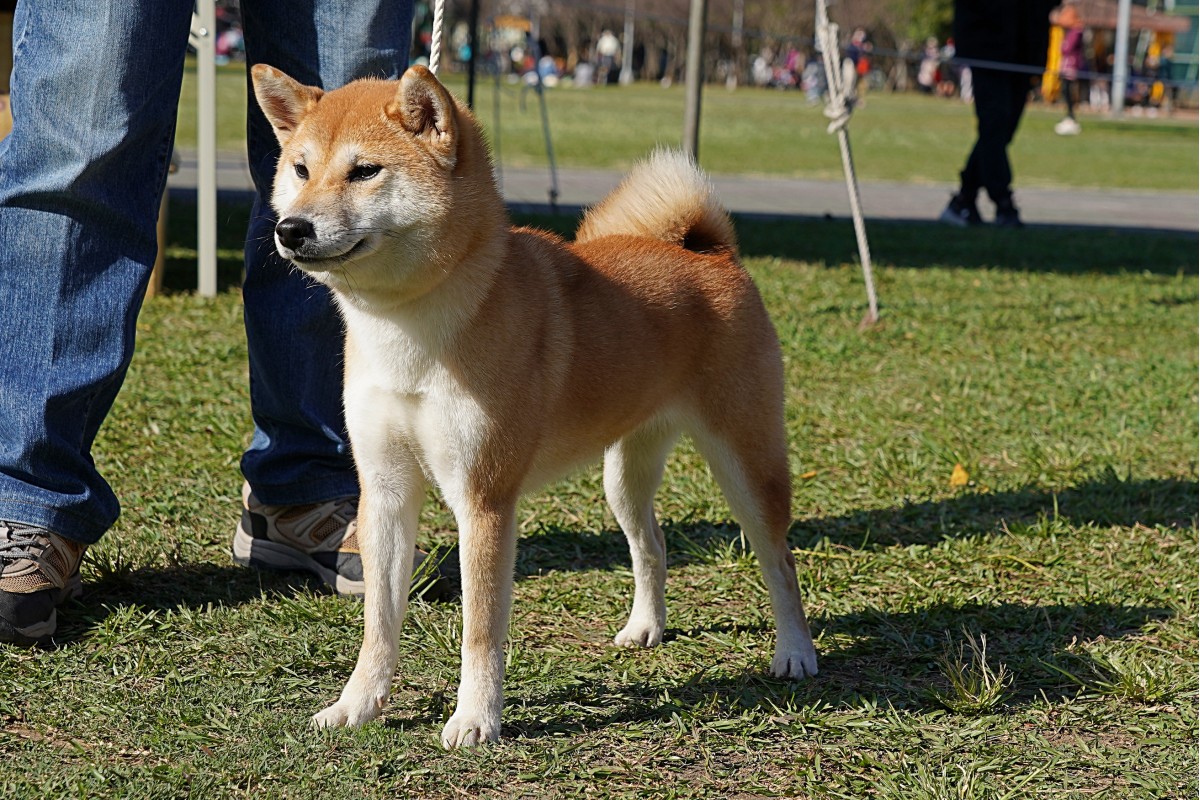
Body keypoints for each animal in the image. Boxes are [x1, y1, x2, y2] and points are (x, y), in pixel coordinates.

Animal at [250, 65, 816, 748]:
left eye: (364, 171)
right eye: (301, 169)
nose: (290, 228)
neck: (406, 330)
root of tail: (709, 252)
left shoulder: (484, 499)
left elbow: (480, 627)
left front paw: (475, 718)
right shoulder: (383, 490)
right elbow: (379, 624)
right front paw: (356, 705)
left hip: (747, 465)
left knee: (780, 560)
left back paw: (796, 653)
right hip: (623, 477)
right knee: (651, 544)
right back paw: (646, 627)